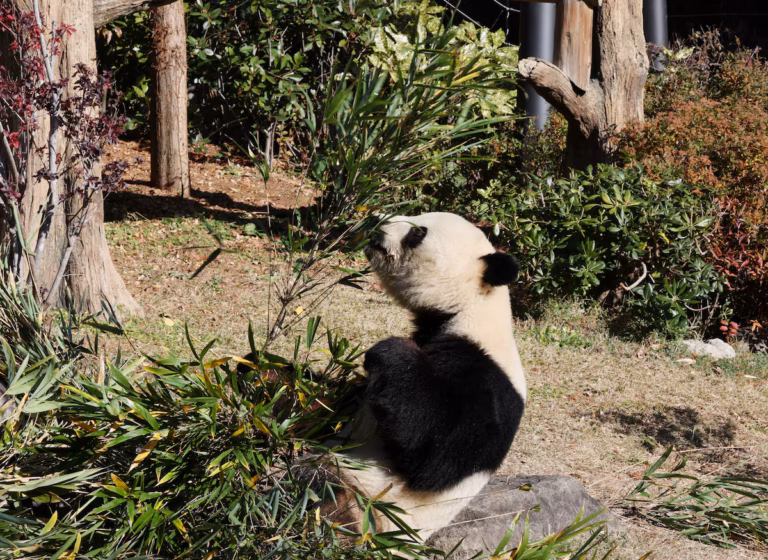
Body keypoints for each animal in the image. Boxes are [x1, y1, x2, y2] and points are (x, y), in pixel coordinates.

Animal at [327, 212, 527, 540]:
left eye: (418, 232)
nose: (376, 223)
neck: (469, 309)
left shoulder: (486, 378)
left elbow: (438, 456)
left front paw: (393, 352)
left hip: (364, 506)